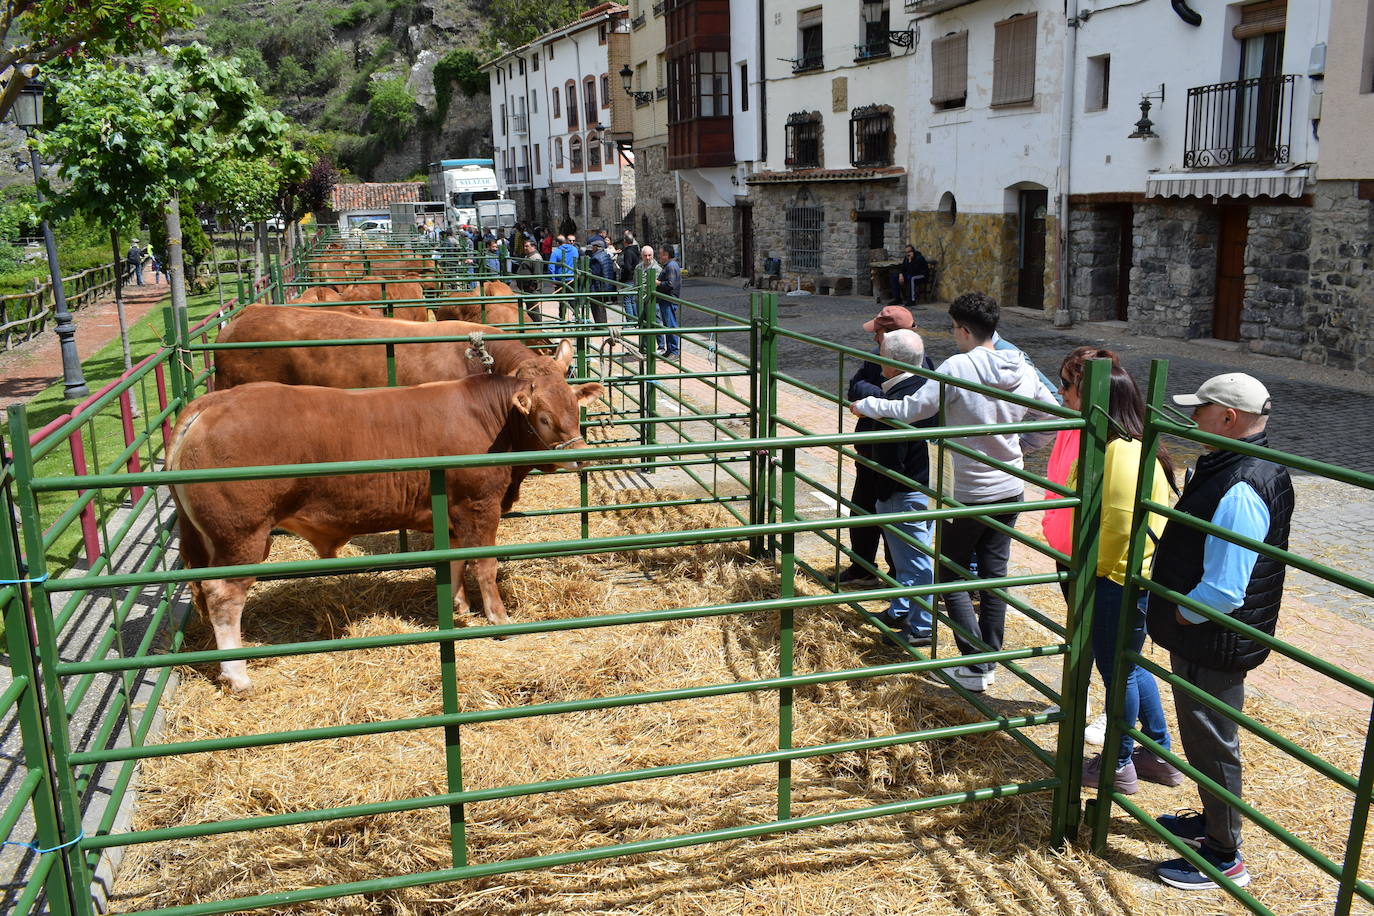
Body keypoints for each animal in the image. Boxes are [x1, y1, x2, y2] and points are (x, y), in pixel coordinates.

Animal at [171, 368, 601, 692]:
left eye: (576, 410)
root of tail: (213, 402)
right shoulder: (480, 504)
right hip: (242, 534)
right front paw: (500, 621)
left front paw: (459, 607)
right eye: (543, 418)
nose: (580, 458)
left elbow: (456, 562)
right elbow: (484, 565)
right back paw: (237, 675)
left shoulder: (453, 513)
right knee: (224, 596)